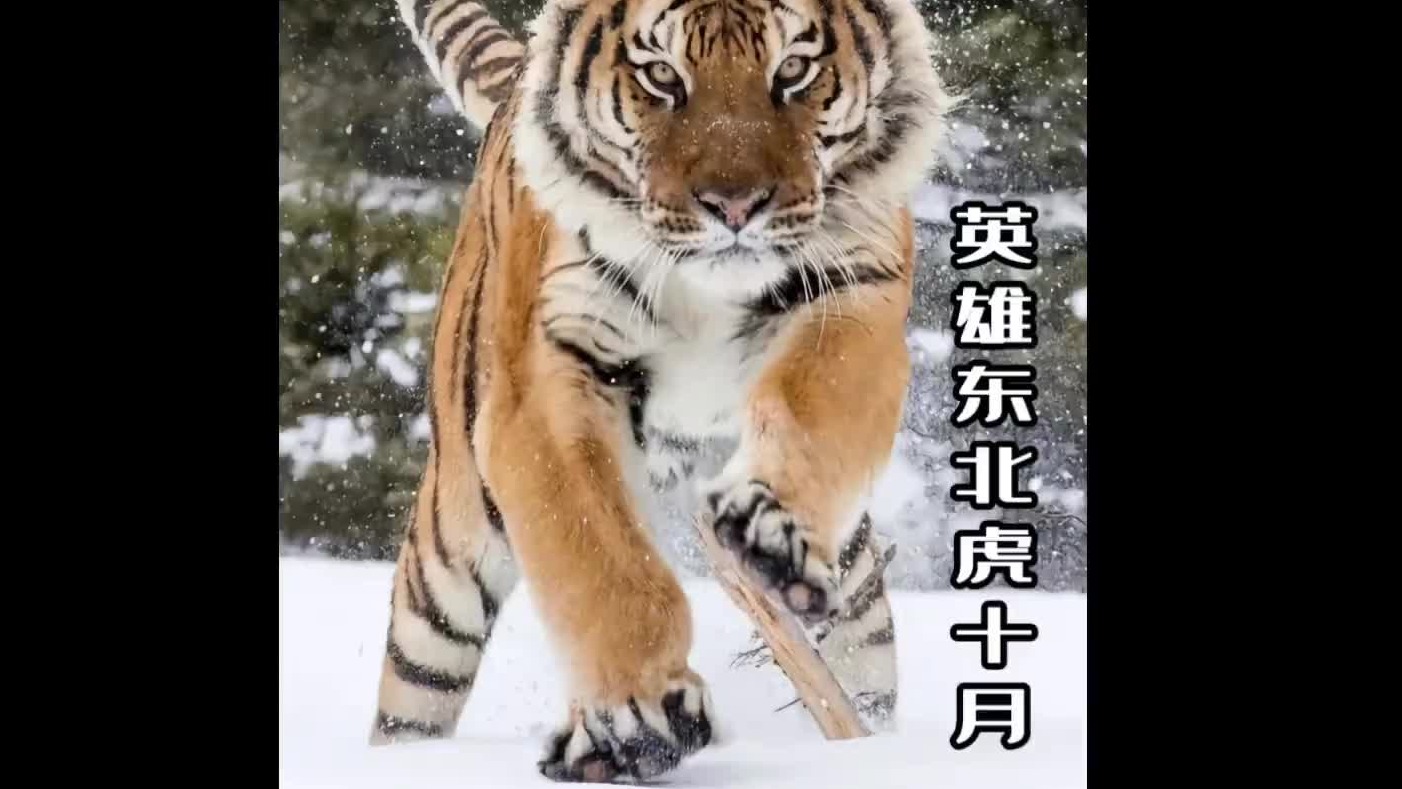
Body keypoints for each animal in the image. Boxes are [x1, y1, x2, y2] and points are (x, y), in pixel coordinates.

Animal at [370, 0, 952, 781]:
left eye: (794, 69)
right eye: (661, 76)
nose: (735, 206)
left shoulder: (856, 289)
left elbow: (812, 413)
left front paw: (770, 533)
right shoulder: (547, 380)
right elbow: (600, 558)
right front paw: (635, 717)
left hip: (860, 605)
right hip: (443, 580)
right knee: (413, 690)